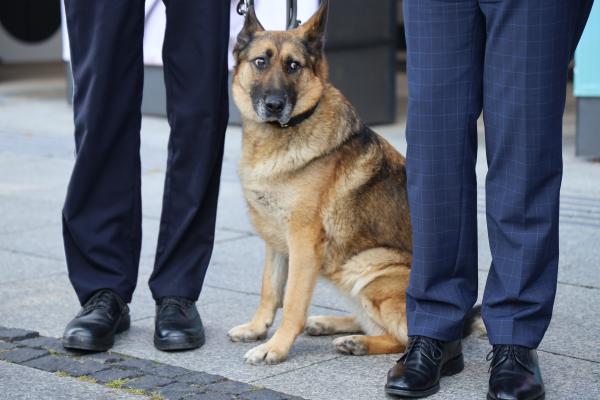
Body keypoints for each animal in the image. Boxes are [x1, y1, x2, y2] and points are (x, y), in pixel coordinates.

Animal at [227, 0, 480, 366]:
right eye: (261, 61)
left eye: (293, 66)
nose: (274, 105)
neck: (285, 132)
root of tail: (461, 324)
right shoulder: (276, 241)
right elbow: (269, 289)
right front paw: (257, 328)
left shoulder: (303, 242)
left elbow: (292, 302)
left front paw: (276, 346)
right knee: (370, 322)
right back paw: (333, 326)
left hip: (369, 269)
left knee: (401, 338)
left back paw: (359, 342)